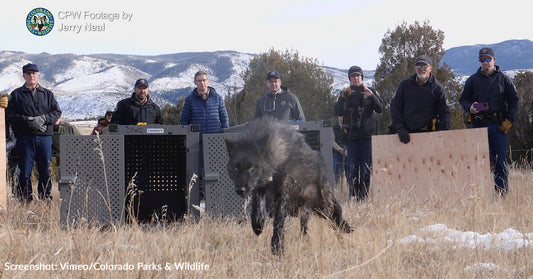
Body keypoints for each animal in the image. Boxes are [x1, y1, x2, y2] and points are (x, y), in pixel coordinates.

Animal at [223, 117, 352, 255]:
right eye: (236, 169)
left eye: (252, 168)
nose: (240, 190)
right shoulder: (260, 188)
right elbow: (257, 207)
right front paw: (258, 224)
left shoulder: (283, 192)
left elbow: (278, 220)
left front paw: (277, 247)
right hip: (306, 211)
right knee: (305, 229)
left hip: (323, 207)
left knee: (335, 218)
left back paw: (344, 234)